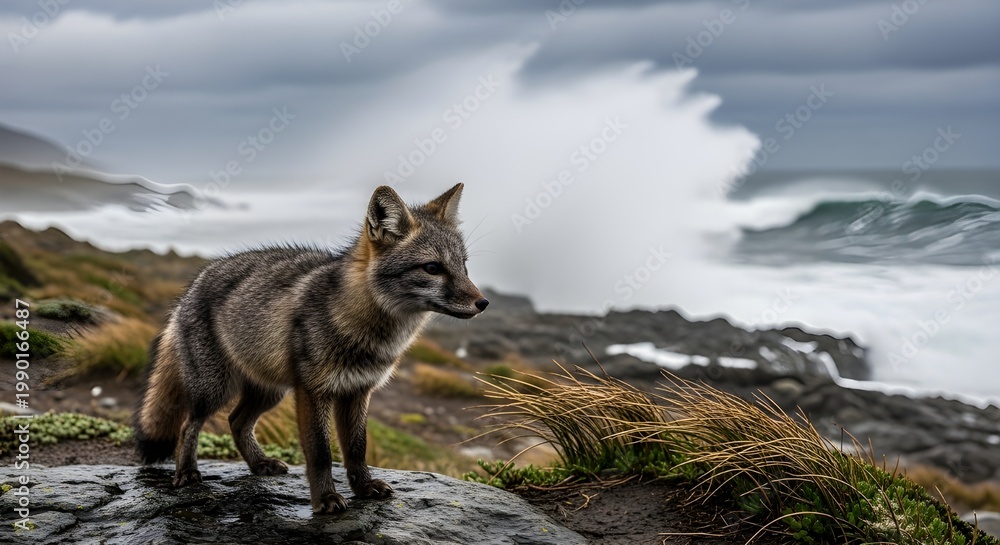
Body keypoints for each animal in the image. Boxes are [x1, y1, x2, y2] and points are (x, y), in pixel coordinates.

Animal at [133, 183, 488, 513]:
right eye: (433, 268)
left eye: (465, 267)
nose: (483, 303)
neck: (365, 330)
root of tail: (193, 285)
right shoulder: (313, 391)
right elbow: (320, 453)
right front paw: (326, 499)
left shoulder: (358, 391)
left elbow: (356, 448)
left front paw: (363, 487)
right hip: (214, 390)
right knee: (188, 426)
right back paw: (186, 472)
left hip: (269, 392)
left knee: (236, 421)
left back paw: (259, 464)